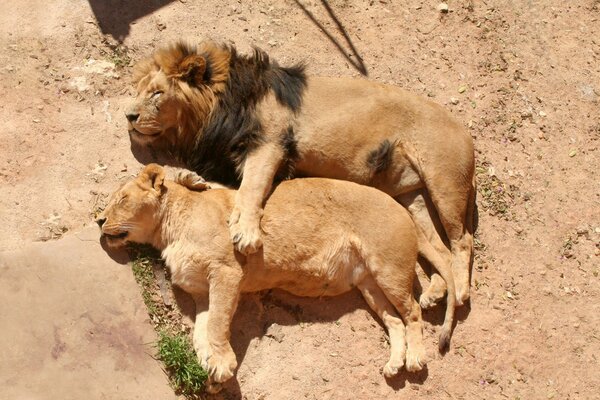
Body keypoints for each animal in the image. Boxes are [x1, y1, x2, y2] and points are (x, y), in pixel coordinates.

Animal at [98, 164, 454, 390]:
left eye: (122, 200)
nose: (99, 220)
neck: (167, 232)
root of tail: (402, 207)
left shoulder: (226, 273)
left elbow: (217, 323)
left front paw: (222, 364)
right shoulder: (201, 292)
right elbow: (201, 330)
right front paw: (208, 365)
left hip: (389, 268)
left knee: (413, 311)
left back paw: (416, 358)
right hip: (368, 285)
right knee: (395, 321)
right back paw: (395, 363)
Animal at [127, 40, 478, 304]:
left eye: (157, 93)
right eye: (139, 91)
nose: (129, 116)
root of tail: (466, 132)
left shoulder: (271, 143)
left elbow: (251, 188)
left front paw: (246, 233)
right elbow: (227, 188)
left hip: (445, 183)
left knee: (462, 240)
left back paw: (460, 292)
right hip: (411, 196)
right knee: (439, 248)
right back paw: (436, 292)